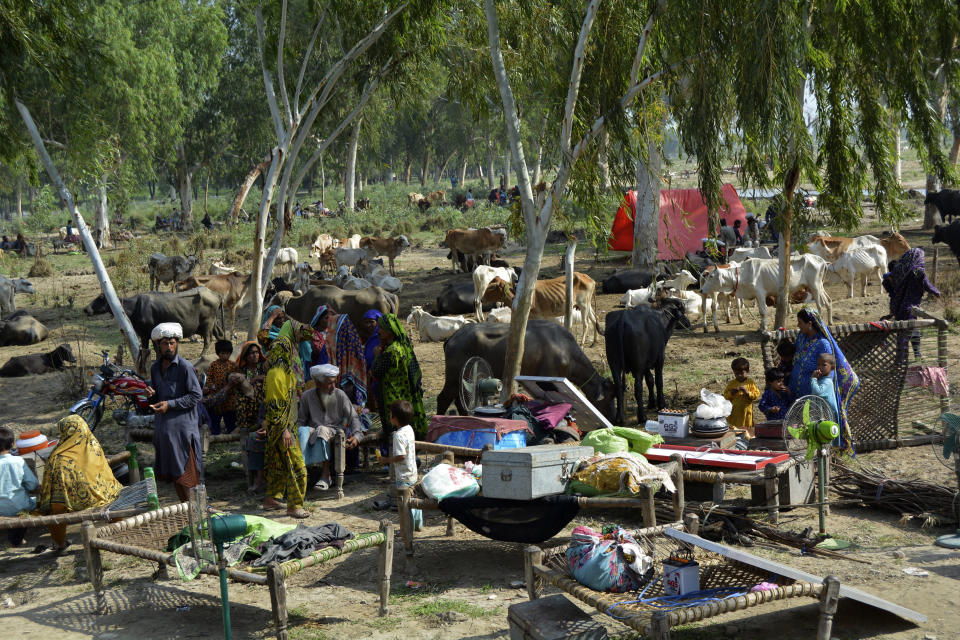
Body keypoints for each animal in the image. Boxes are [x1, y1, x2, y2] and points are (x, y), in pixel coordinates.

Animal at [436, 320, 616, 420]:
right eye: (609, 398)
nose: (616, 418)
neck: (566, 350)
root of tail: (453, 337)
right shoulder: (546, 381)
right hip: (454, 377)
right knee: (443, 398)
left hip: (463, 378)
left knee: (459, 400)